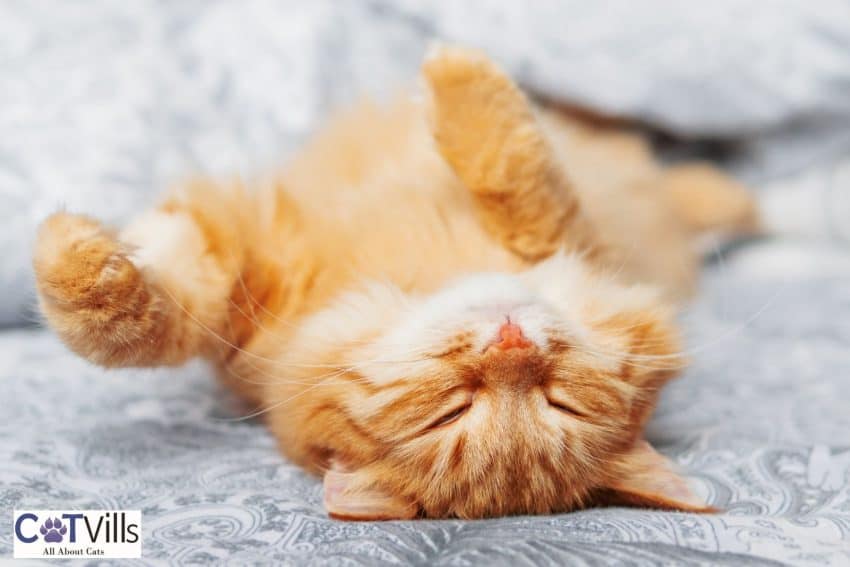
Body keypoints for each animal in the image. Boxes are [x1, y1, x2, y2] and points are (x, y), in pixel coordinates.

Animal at [31, 47, 756, 520]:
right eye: (453, 410)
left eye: (558, 402)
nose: (512, 341)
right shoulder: (249, 269)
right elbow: (138, 320)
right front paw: (78, 267)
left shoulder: (581, 239)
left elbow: (517, 174)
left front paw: (458, 78)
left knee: (686, 182)